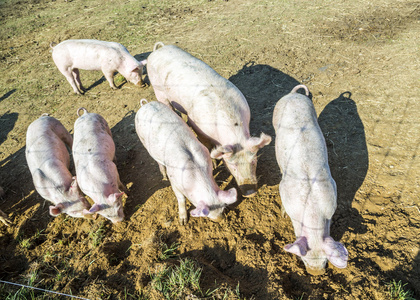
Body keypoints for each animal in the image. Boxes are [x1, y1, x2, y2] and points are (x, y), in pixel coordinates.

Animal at [146, 42, 270, 197]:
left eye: (254, 161)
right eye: (232, 165)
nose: (250, 192)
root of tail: (159, 49)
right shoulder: (197, 125)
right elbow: (205, 142)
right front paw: (215, 163)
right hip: (159, 91)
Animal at [272, 85, 348, 276]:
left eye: (325, 260)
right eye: (303, 259)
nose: (315, 273)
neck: (313, 210)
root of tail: (293, 95)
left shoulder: (332, 191)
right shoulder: (283, 189)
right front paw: (283, 214)